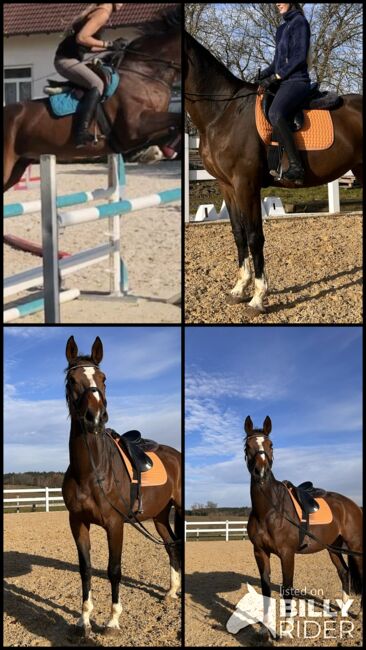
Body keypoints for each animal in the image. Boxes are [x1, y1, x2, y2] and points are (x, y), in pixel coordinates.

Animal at [2, 6, 180, 190]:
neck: (144, 74)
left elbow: (174, 127)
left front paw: (158, 152)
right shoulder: (134, 127)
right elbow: (178, 119)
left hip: (18, 166)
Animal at [63, 336, 183, 636]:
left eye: (103, 378)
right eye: (71, 380)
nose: (95, 417)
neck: (92, 472)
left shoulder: (115, 524)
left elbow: (113, 569)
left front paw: (112, 621)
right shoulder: (77, 522)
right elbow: (86, 569)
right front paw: (84, 619)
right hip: (160, 516)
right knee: (171, 546)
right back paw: (171, 592)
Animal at [184, 32, 362, 314]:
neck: (222, 113)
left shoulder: (246, 184)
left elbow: (255, 236)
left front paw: (258, 297)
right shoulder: (226, 185)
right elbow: (239, 234)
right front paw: (239, 289)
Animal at [244, 416, 362, 636]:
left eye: (271, 445)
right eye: (247, 446)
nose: (261, 472)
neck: (270, 510)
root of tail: (351, 505)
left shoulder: (287, 554)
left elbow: (287, 588)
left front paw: (287, 628)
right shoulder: (260, 552)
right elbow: (265, 588)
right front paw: (264, 627)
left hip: (355, 547)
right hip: (333, 547)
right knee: (344, 572)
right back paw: (343, 611)